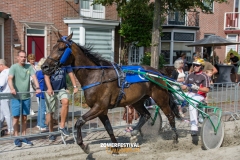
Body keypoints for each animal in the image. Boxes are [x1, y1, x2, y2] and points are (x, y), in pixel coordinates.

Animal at [41, 32, 180, 154]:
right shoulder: (102, 111)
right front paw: (116, 147)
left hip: (160, 97)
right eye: (53, 47)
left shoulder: (99, 107)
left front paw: (84, 146)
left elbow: (79, 121)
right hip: (137, 101)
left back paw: (175, 139)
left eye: (61, 48)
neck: (95, 76)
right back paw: (134, 133)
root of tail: (157, 72)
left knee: (170, 116)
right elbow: (109, 129)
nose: (44, 67)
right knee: (146, 115)